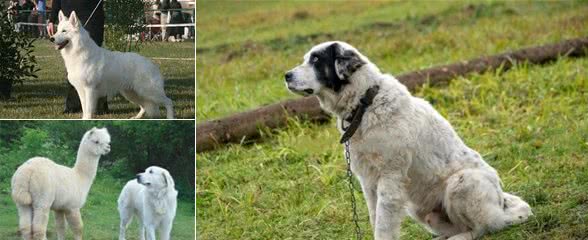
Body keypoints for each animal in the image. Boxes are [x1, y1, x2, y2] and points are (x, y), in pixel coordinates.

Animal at [284, 40, 532, 239]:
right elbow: (375, 217)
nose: (286, 75)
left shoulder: (390, 178)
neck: (365, 104)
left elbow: (383, 225)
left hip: (462, 182)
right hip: (421, 209)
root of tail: (502, 201)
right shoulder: (368, 181)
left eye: (316, 60)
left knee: (486, 227)